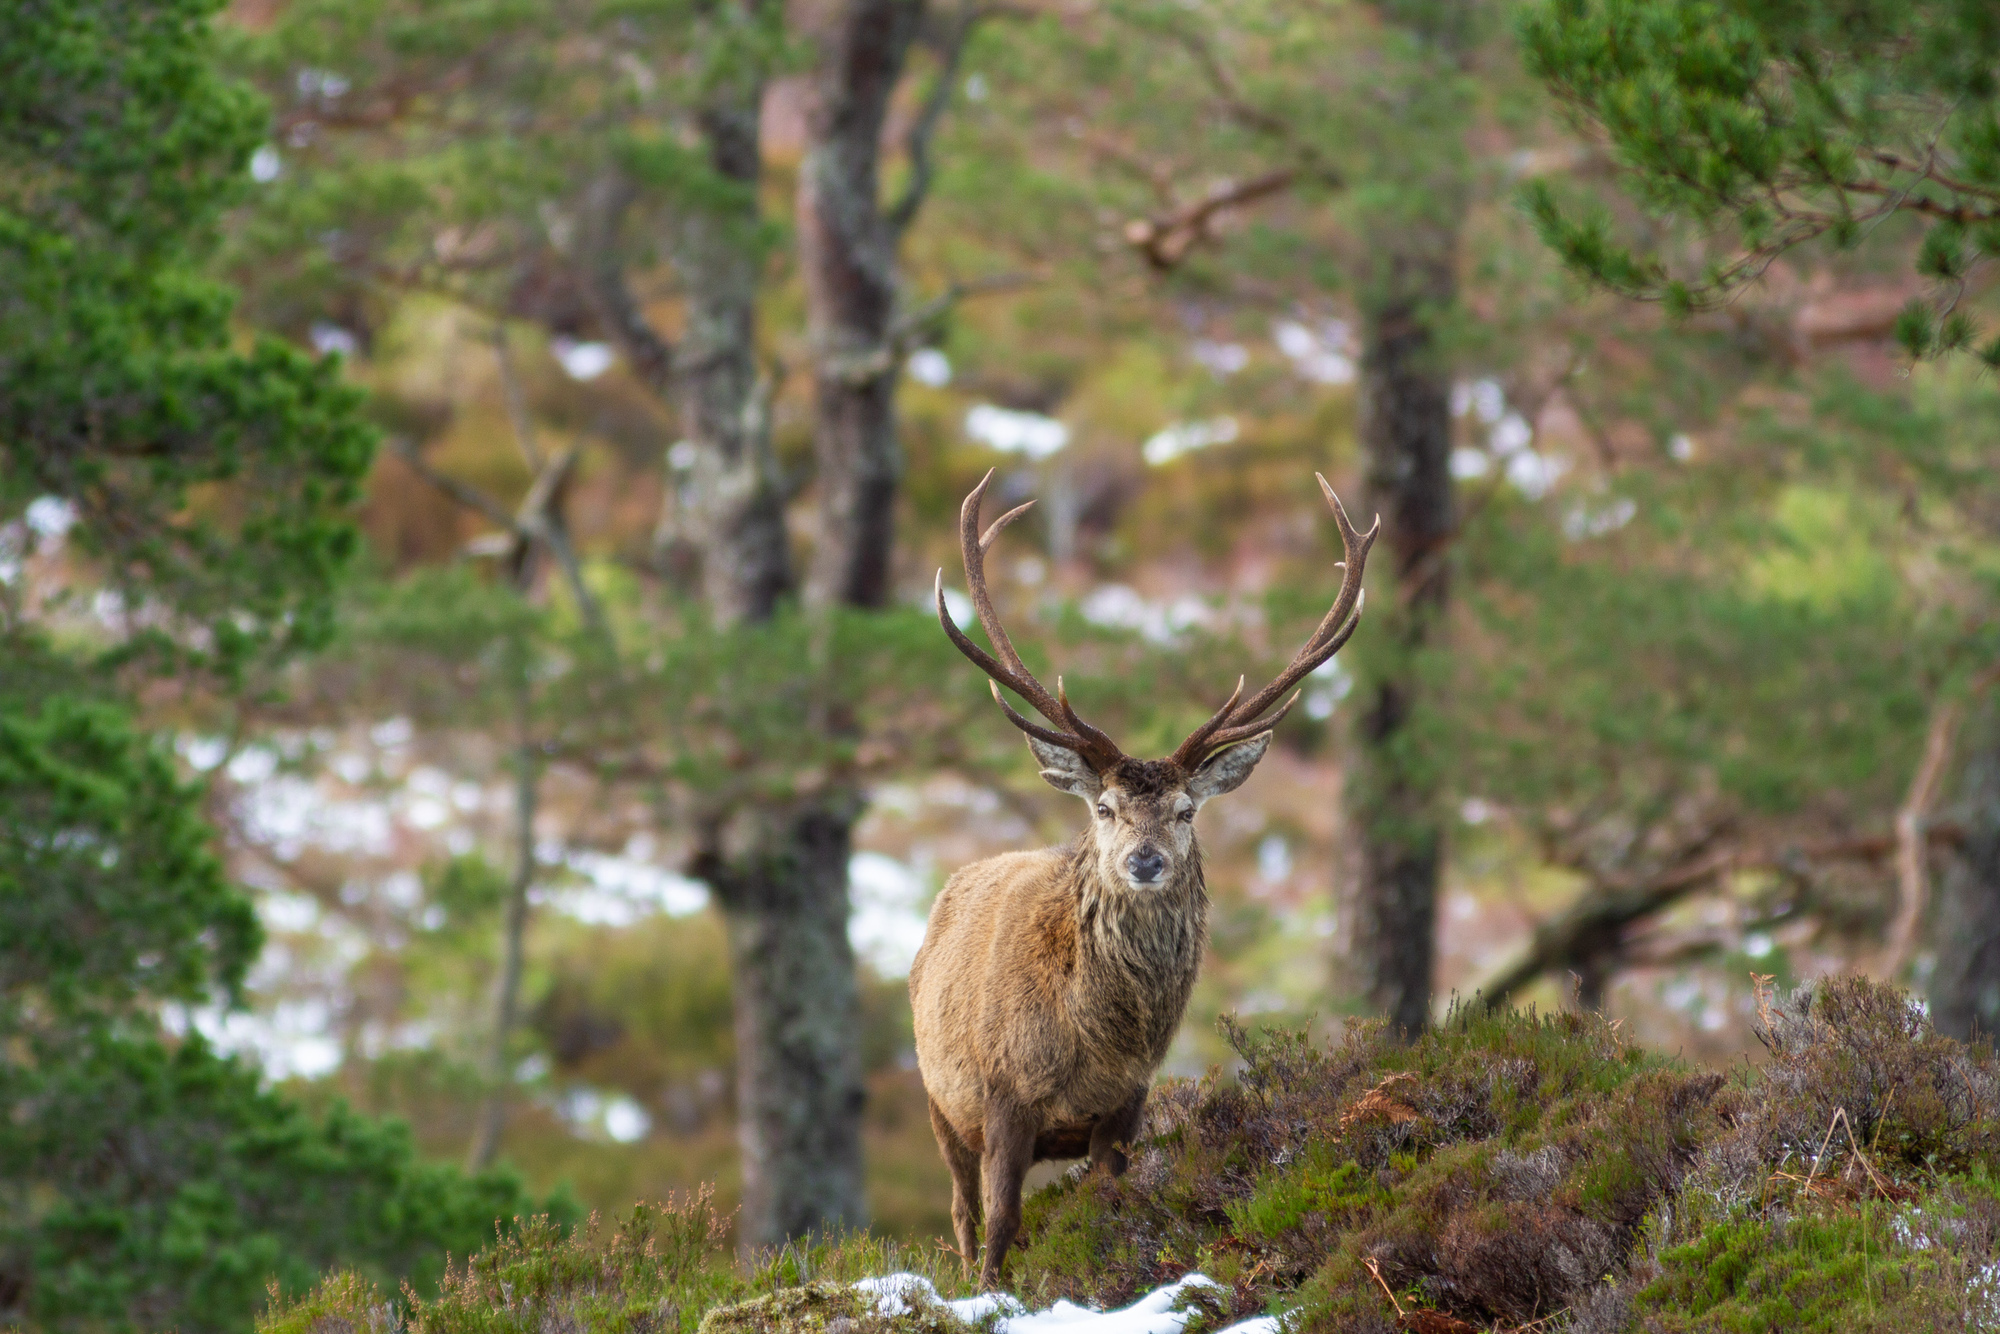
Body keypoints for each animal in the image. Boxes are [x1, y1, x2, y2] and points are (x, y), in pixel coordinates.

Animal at [908, 470, 1377, 1290]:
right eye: (1105, 807)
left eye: (1186, 810)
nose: (1146, 859)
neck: (1092, 1043)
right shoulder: (1001, 1098)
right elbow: (999, 1226)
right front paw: (992, 1295)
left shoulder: (1127, 1105)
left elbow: (1107, 1209)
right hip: (939, 1100)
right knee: (963, 1216)